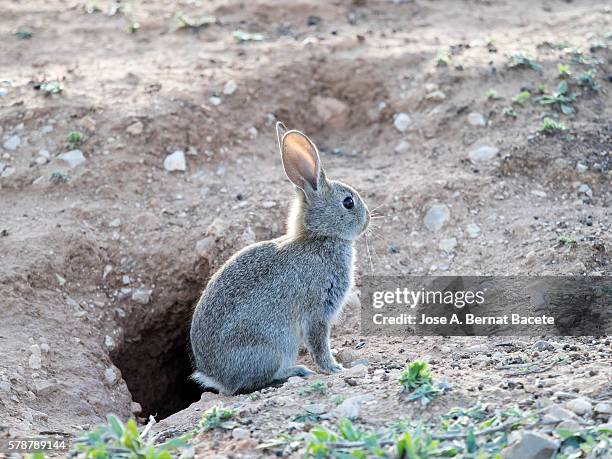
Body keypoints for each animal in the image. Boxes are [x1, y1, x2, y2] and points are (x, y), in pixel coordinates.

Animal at [189, 121, 370, 396]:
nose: (368, 219)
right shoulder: (317, 311)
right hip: (274, 347)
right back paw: (296, 371)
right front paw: (334, 367)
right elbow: (319, 342)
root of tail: (216, 377)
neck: (319, 237)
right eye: (348, 202)